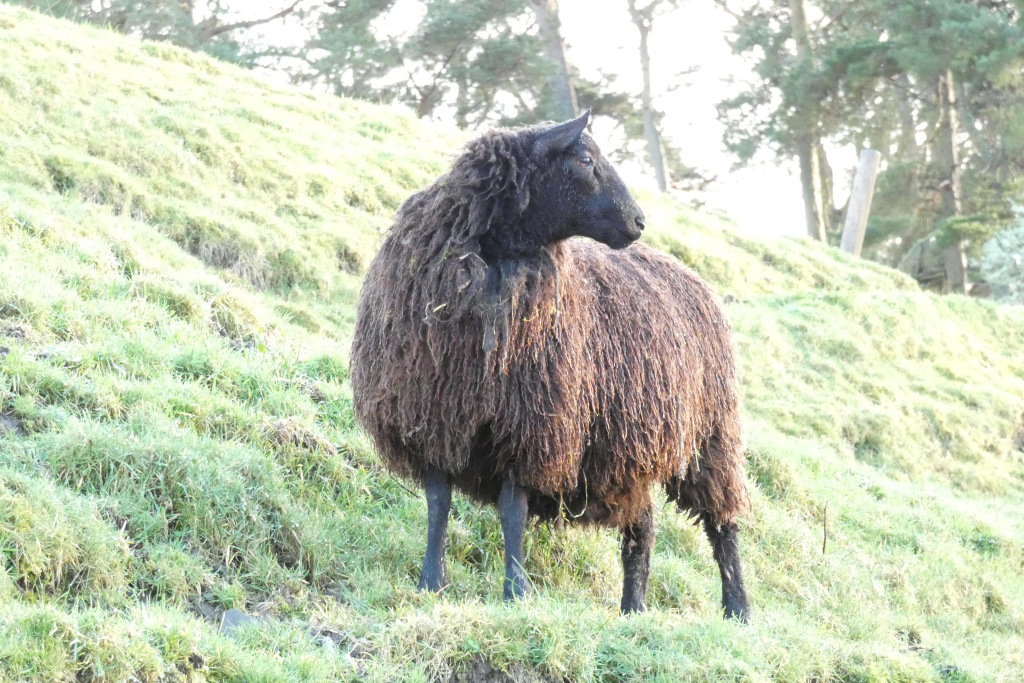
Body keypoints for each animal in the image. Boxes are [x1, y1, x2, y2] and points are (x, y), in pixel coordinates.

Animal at [350, 111, 750, 621]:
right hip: (630, 451)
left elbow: (512, 512)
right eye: (583, 159)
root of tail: (693, 277)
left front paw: (515, 593)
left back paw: (738, 609)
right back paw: (632, 608)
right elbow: (438, 506)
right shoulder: (434, 420)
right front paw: (430, 583)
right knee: (643, 528)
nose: (639, 222)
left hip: (710, 436)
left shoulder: (529, 430)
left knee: (723, 524)